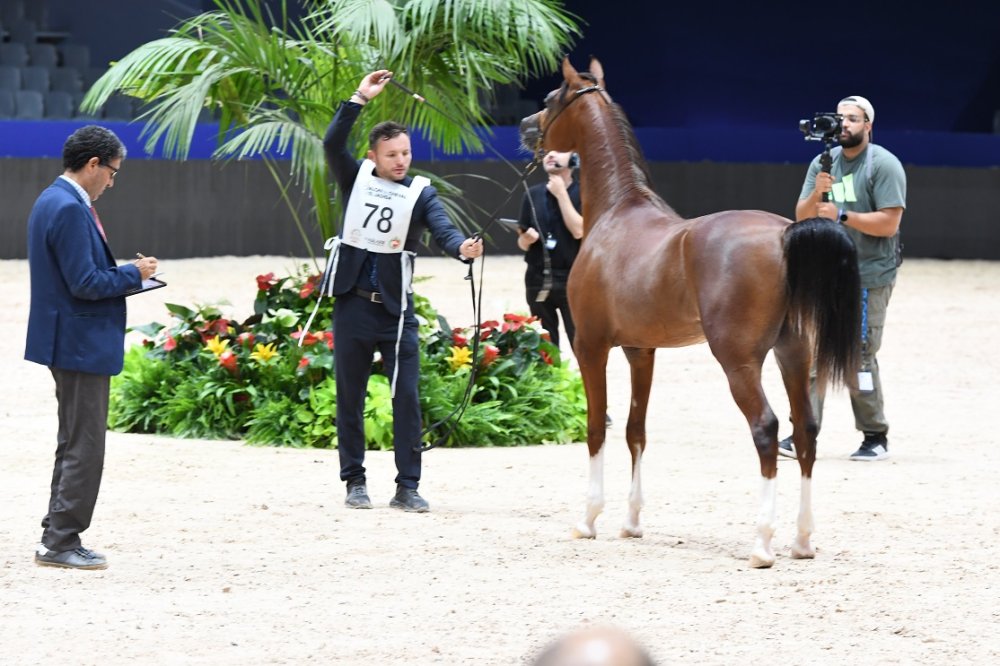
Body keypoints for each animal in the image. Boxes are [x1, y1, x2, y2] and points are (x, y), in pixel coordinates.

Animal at [516, 57, 860, 564]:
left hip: (738, 361)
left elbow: (597, 428)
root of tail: (783, 235)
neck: (617, 213)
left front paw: (588, 519)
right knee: (805, 431)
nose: (524, 128)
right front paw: (632, 523)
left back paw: (762, 543)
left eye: (549, 100)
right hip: (793, 355)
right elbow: (635, 430)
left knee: (765, 428)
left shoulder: (590, 346)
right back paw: (800, 540)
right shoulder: (641, 351)